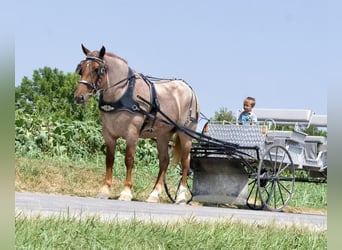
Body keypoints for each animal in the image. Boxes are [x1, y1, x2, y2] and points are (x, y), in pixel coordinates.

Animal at [73, 45, 199, 204]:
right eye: (81, 68)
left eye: (97, 69)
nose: (79, 97)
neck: (122, 92)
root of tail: (189, 89)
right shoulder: (108, 134)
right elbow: (109, 160)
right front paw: (105, 190)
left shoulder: (132, 134)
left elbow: (129, 160)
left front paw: (126, 192)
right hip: (163, 136)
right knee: (164, 161)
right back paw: (154, 194)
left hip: (186, 135)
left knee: (185, 162)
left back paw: (181, 196)